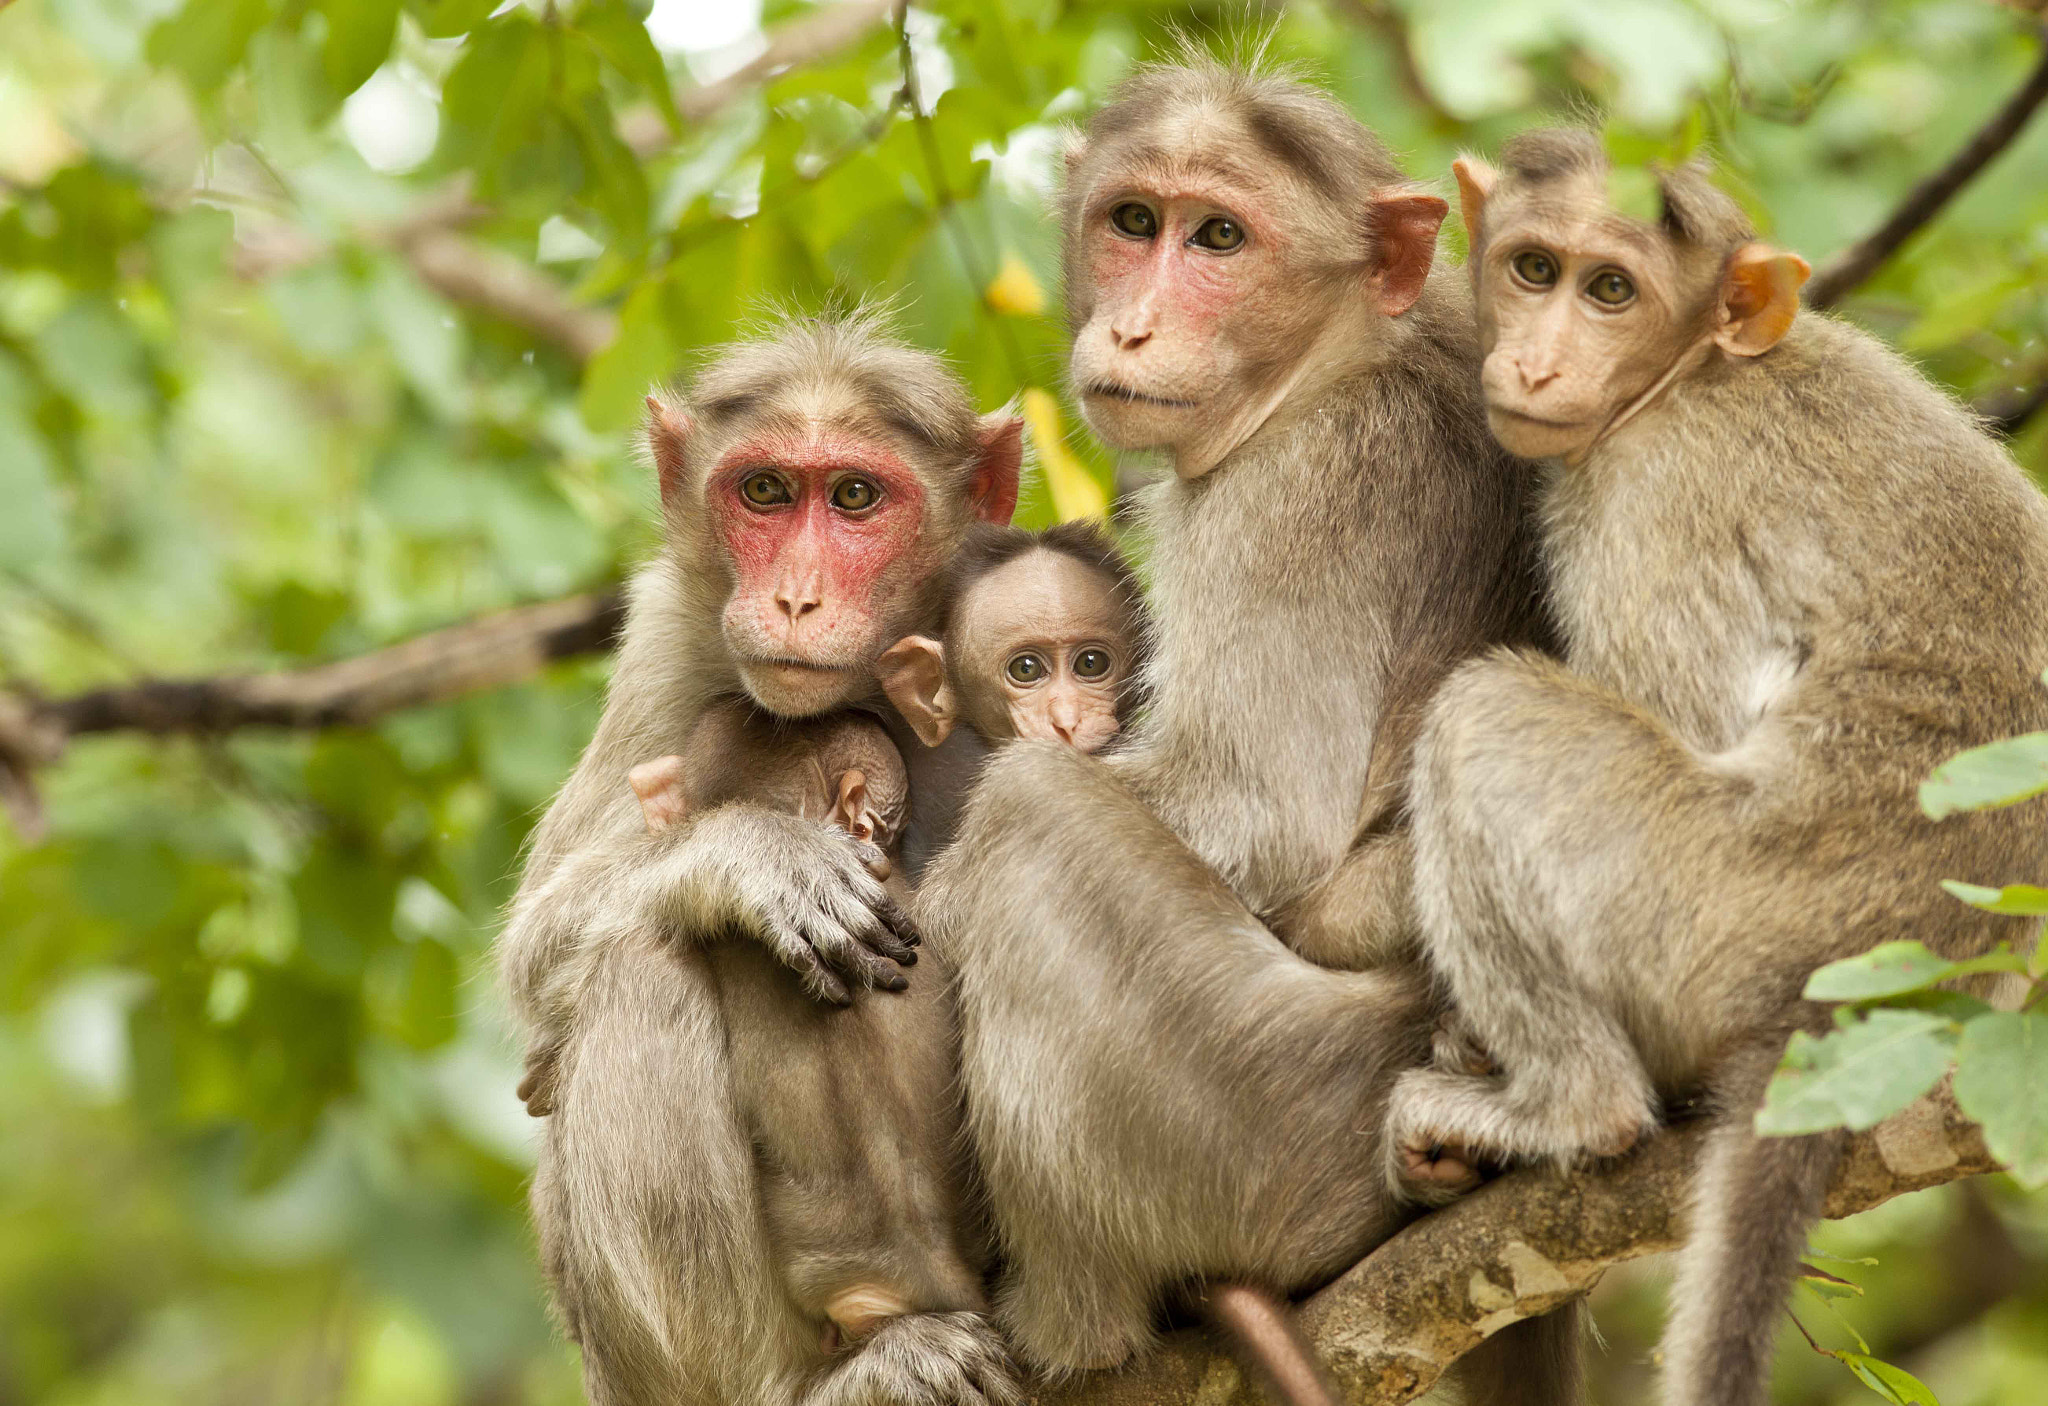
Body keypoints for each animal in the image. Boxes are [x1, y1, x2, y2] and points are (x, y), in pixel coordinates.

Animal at [496, 311, 1027, 1406]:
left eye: (856, 496)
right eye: (767, 491)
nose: (792, 598)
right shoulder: (666, 635)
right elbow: (534, 948)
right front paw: (759, 860)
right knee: (639, 963)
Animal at [907, 57, 1580, 1404]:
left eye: (1218, 237)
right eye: (1133, 222)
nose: (1131, 326)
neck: (1331, 360)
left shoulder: (1299, 491)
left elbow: (1253, 813)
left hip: (1245, 1110)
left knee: (1036, 817)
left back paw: (1069, 1325)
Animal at [1381, 129, 2048, 1406]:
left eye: (1610, 290)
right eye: (1531, 267)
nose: (1534, 360)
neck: (1690, 374)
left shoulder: (1653, 491)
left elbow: (1678, 705)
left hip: (1697, 910)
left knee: (1481, 720)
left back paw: (1563, 1111)